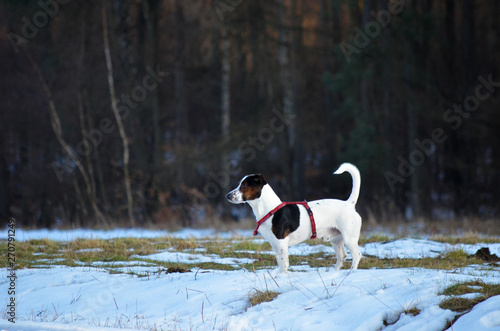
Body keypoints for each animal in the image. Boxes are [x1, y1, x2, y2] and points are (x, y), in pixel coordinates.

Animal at [227, 163, 364, 274]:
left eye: (244, 185)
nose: (227, 195)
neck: (270, 209)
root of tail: (349, 204)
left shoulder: (281, 242)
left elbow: (284, 263)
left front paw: (282, 276)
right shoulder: (274, 243)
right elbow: (279, 261)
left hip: (349, 238)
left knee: (356, 255)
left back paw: (352, 272)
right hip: (336, 239)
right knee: (342, 256)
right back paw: (334, 272)